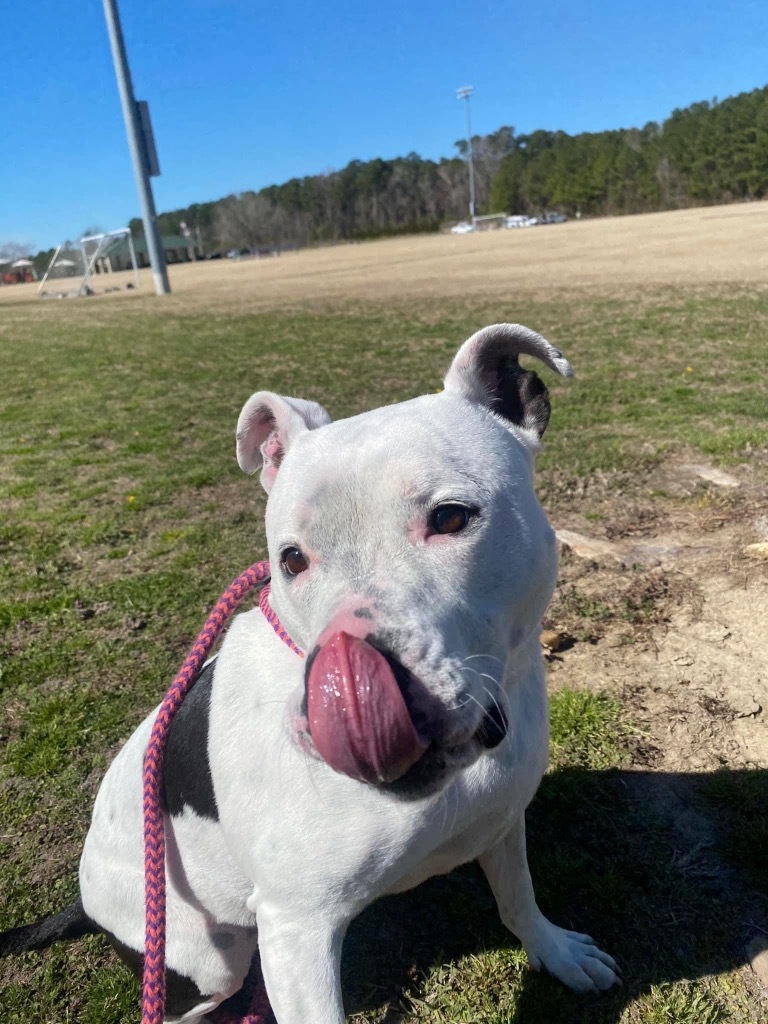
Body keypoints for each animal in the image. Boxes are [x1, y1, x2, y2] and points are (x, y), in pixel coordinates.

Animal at [0, 323, 618, 1019]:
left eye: (452, 517)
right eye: (290, 559)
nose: (348, 688)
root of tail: (85, 901)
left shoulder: (502, 819)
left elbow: (519, 899)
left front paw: (556, 952)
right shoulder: (297, 932)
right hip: (209, 957)